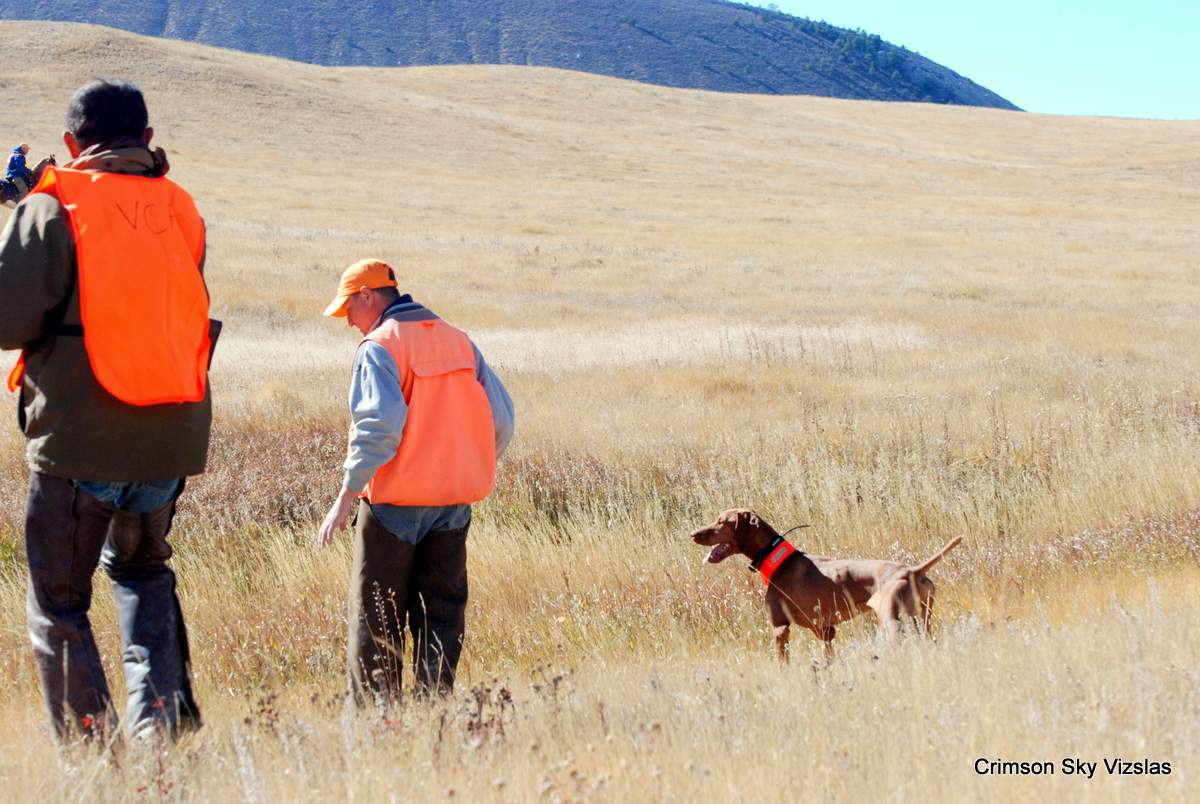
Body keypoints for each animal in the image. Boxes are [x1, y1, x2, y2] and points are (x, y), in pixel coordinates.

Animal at [691, 511, 960, 662]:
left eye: (721, 522)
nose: (692, 534)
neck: (776, 559)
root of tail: (912, 571)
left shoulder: (780, 628)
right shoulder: (826, 631)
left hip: (892, 620)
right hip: (924, 619)